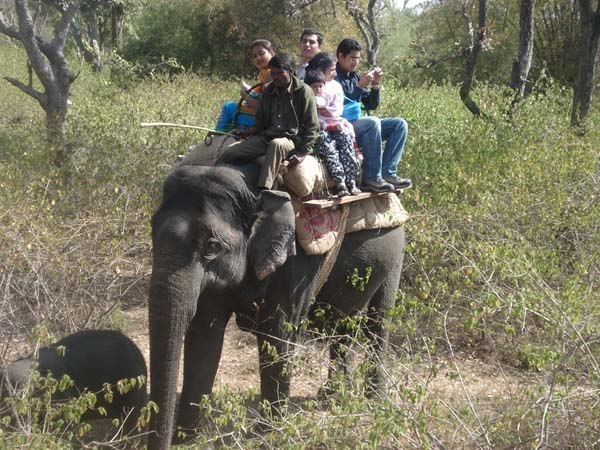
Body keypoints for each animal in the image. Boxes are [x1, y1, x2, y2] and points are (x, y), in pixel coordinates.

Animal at [148, 164, 406, 450]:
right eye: (152, 231)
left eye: (212, 246)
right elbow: (205, 336)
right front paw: (188, 440)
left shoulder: (297, 263)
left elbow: (278, 333)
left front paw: (269, 435)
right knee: (344, 324)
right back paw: (333, 396)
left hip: (396, 250)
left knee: (378, 320)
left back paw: (373, 398)